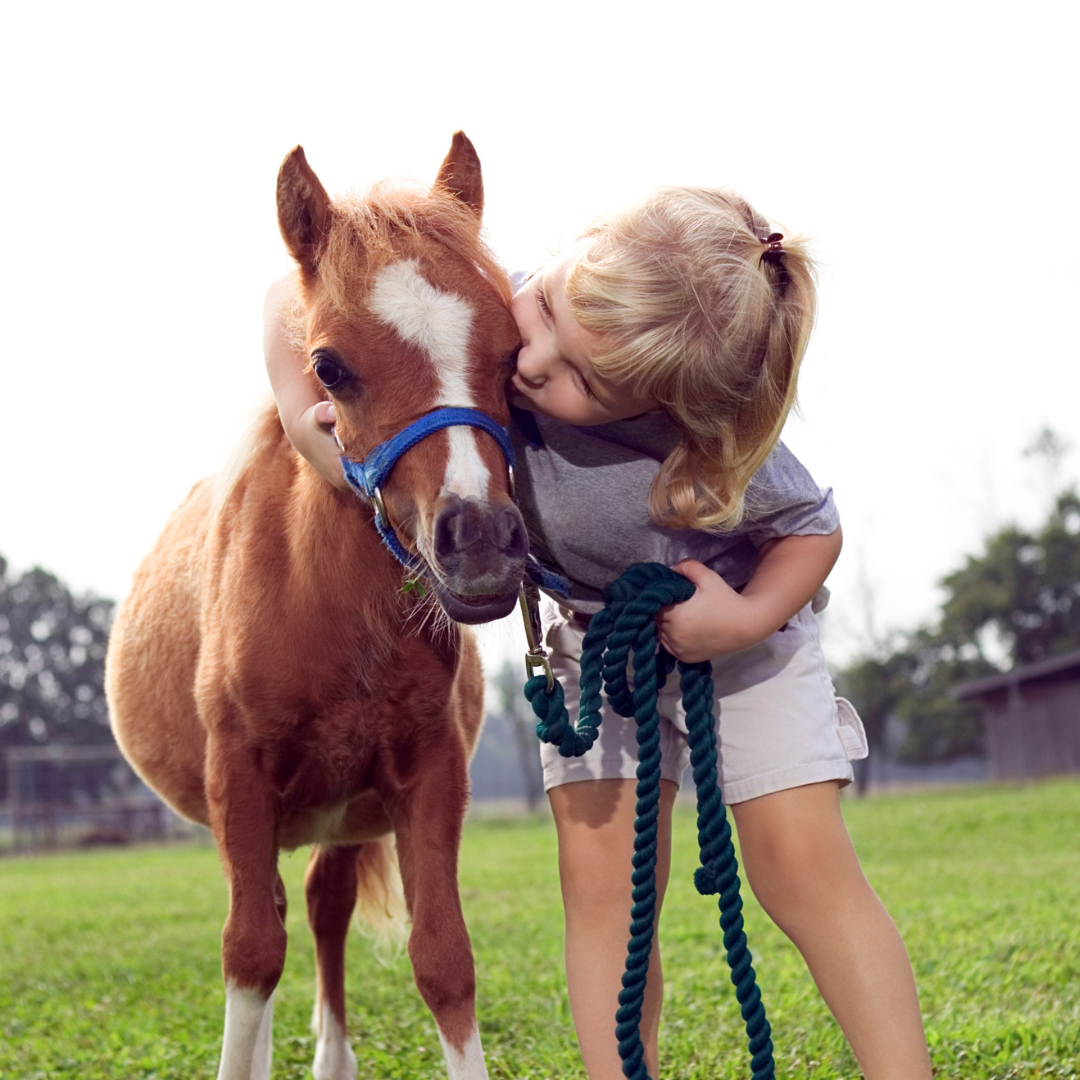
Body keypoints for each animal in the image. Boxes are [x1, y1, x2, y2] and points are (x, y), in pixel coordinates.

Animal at [105, 132, 525, 1080]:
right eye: (328, 365)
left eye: (515, 351)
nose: (480, 541)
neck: (325, 609)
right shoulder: (239, 780)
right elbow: (251, 953)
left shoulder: (429, 775)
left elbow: (445, 958)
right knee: (272, 920)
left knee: (323, 905)